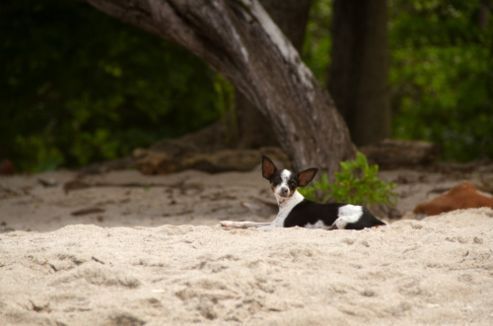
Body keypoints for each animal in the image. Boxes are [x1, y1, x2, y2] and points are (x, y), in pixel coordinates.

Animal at [221, 155, 386, 229]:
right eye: (277, 181)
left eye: (293, 184)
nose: (285, 189)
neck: (286, 204)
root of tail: (373, 217)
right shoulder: (273, 223)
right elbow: (249, 222)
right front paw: (228, 222)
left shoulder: (277, 227)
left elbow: (256, 227)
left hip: (341, 221)